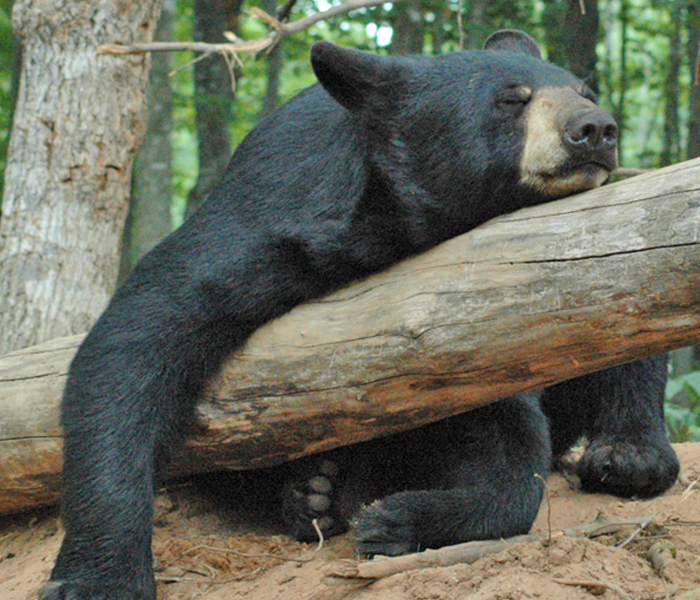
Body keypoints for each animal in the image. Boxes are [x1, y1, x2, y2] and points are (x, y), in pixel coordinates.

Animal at [41, 29, 676, 600]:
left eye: (586, 91)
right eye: (510, 99)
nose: (596, 129)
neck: (397, 226)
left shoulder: (477, 319)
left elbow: (510, 443)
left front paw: (398, 520)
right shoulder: (267, 217)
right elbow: (140, 335)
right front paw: (97, 579)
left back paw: (630, 456)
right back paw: (310, 495)